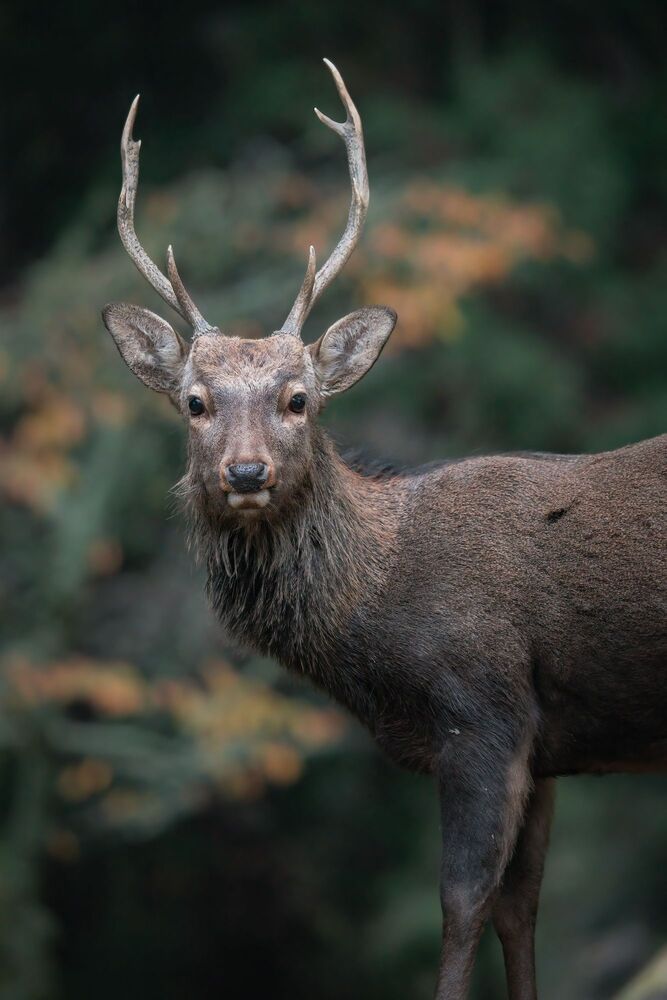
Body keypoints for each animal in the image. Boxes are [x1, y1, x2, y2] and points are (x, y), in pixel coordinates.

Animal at [101, 59, 666, 1000]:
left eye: (299, 399)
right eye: (195, 402)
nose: (246, 474)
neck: (377, 623)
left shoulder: (482, 707)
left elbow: (462, 905)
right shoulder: (546, 745)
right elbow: (521, 913)